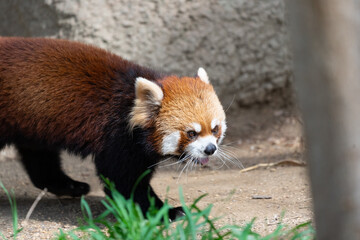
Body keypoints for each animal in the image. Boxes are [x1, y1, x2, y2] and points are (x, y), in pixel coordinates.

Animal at [0, 37, 225, 219]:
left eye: (215, 129)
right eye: (191, 133)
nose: (210, 149)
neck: (131, 104)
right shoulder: (117, 137)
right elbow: (123, 179)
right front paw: (163, 212)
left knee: (39, 158)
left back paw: (69, 186)